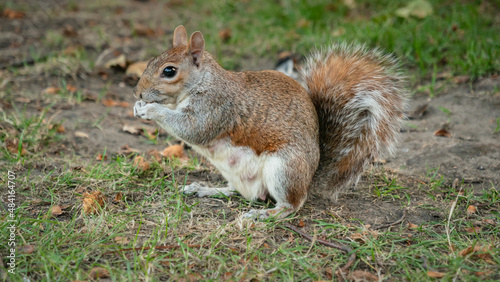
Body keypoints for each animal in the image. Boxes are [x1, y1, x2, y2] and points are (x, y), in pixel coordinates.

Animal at [135, 25, 408, 219]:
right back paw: (206, 189)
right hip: (238, 173)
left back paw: (268, 214)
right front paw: (139, 107)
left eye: (169, 71)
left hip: (284, 168)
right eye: (151, 61)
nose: (138, 92)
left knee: (292, 204)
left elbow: (192, 129)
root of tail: (310, 179)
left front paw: (151, 109)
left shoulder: (216, 108)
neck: (203, 82)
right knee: (242, 192)